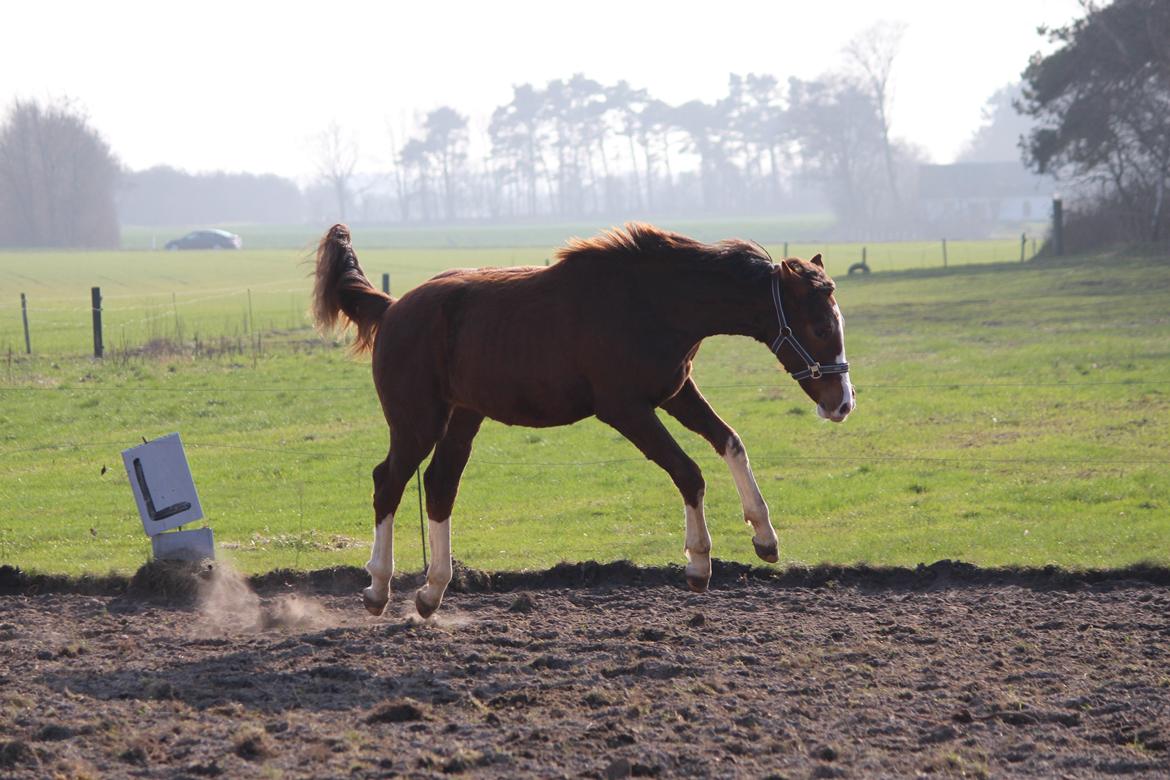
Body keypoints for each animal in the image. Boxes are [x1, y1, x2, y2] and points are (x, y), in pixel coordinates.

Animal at [315, 222, 856, 617]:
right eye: (820, 326)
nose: (842, 403)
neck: (655, 301)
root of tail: (393, 308)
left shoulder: (676, 393)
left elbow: (730, 442)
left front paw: (765, 537)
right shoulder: (625, 408)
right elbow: (689, 472)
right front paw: (699, 563)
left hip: (464, 417)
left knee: (440, 484)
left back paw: (431, 592)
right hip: (417, 420)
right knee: (388, 482)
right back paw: (378, 589)